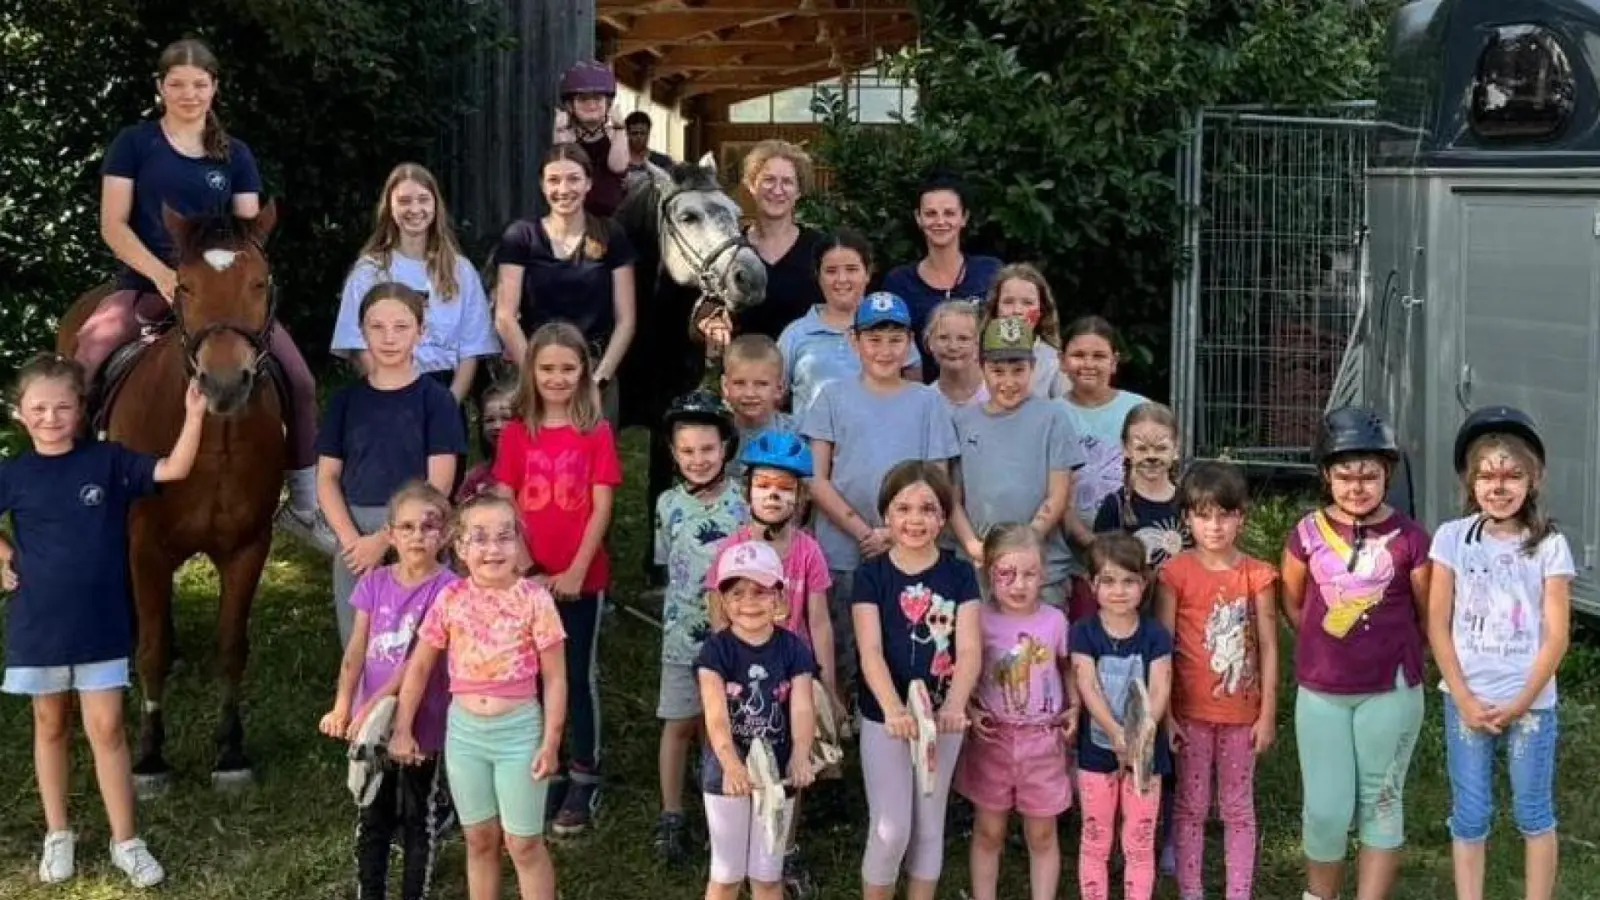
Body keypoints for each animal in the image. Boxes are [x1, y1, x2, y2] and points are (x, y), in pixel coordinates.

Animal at [58, 201, 289, 791]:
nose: (224, 384)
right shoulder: (145, 546)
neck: (212, 444)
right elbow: (152, 650)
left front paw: (230, 750)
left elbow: (231, 647)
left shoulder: (248, 547)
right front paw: (149, 756)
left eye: (260, 282)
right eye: (184, 285)